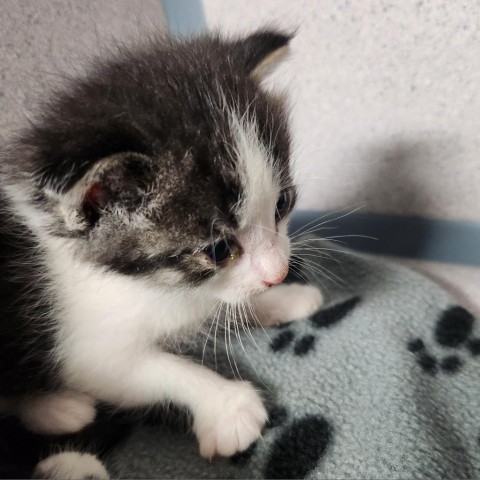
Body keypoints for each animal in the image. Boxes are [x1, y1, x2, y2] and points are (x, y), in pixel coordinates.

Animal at [0, 29, 322, 476]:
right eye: (219, 249)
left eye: (282, 204)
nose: (279, 272)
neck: (151, 284)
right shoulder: (89, 346)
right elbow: (158, 368)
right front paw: (228, 407)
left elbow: (228, 301)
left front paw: (284, 298)